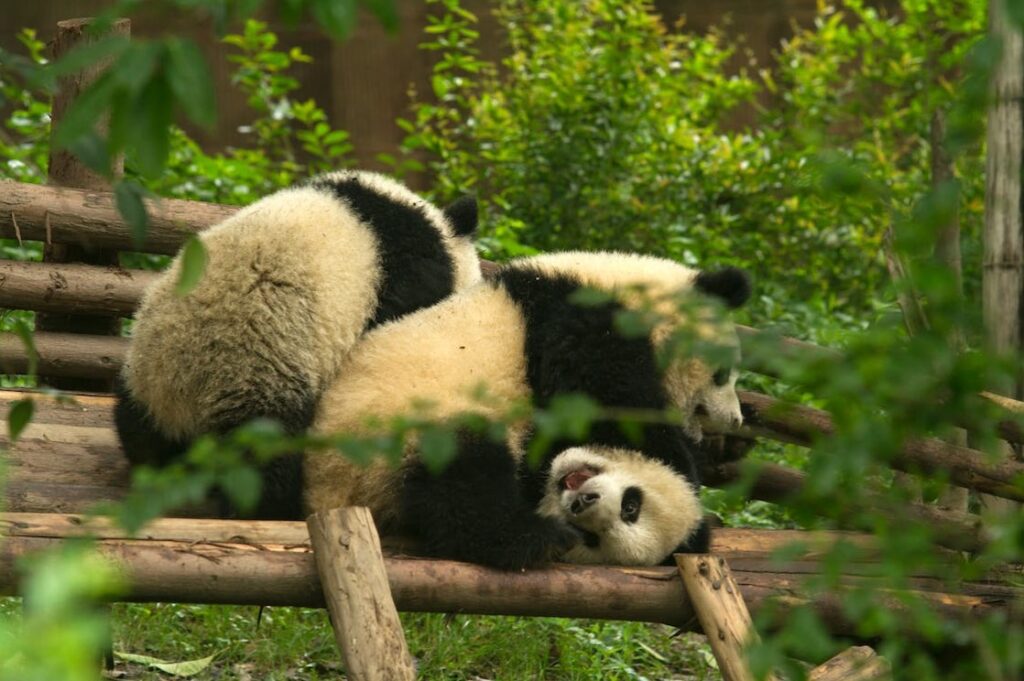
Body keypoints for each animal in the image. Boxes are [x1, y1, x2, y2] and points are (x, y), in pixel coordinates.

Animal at [114, 170, 481, 519]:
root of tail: (175, 397)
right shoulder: (407, 275)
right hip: (254, 370)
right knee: (265, 455)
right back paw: (267, 508)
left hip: (142, 373)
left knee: (138, 433)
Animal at [305, 250, 750, 569]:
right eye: (721, 373)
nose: (735, 419)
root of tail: (324, 493)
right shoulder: (582, 323)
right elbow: (606, 403)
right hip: (394, 431)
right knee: (463, 477)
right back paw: (530, 538)